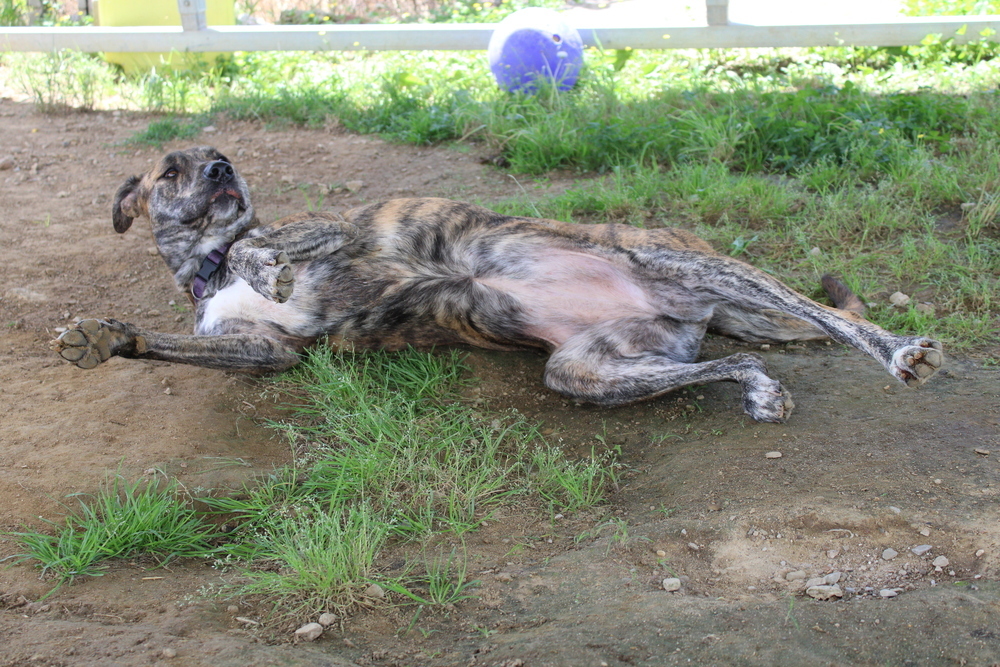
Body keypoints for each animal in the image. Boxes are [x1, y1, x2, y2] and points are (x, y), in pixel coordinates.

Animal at [54, 149, 944, 426]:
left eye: (217, 156)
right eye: (170, 171)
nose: (221, 168)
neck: (205, 262)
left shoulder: (337, 231)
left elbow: (261, 248)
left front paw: (261, 261)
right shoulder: (266, 354)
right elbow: (172, 342)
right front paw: (104, 338)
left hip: (685, 262)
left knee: (823, 311)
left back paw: (899, 350)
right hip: (586, 369)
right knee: (732, 361)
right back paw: (759, 385)